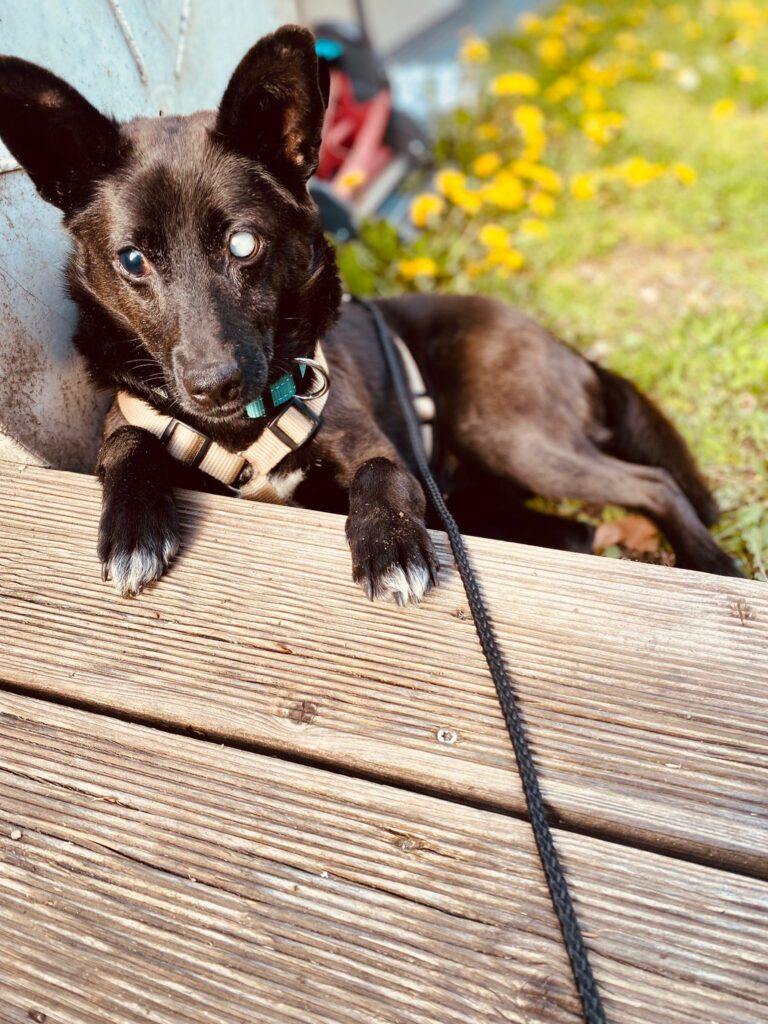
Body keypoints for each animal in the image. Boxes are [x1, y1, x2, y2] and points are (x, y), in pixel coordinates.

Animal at [0, 26, 742, 603]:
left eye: (243, 244)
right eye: (132, 260)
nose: (213, 385)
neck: (242, 431)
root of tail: (557, 341)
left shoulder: (368, 441)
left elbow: (384, 473)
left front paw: (390, 548)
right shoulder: (132, 417)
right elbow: (125, 443)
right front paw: (132, 528)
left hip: (508, 433)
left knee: (652, 483)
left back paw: (714, 565)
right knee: (581, 526)